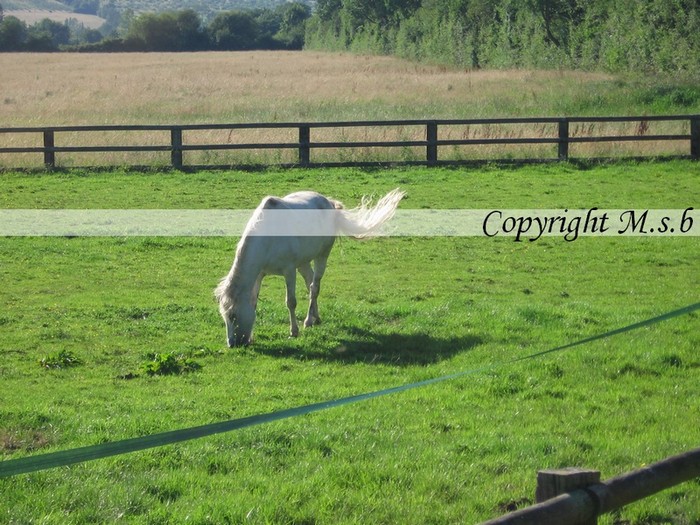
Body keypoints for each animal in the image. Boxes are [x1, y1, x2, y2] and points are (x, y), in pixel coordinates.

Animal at [216, 186, 408, 346]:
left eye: (233, 315)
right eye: (224, 316)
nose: (232, 344)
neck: (268, 237)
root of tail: (329, 202)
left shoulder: (289, 271)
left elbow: (291, 302)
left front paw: (294, 332)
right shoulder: (259, 274)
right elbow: (254, 302)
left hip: (321, 256)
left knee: (315, 286)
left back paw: (309, 321)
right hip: (303, 263)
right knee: (310, 284)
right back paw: (315, 317)